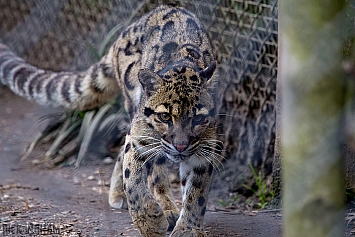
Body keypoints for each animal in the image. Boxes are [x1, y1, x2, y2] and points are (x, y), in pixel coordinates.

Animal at [0, 4, 222, 236]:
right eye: (164, 116)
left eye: (198, 118)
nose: (180, 146)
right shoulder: (139, 139)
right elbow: (133, 180)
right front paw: (150, 221)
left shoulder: (205, 150)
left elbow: (197, 194)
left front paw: (188, 229)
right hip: (132, 107)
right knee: (147, 168)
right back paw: (146, 203)